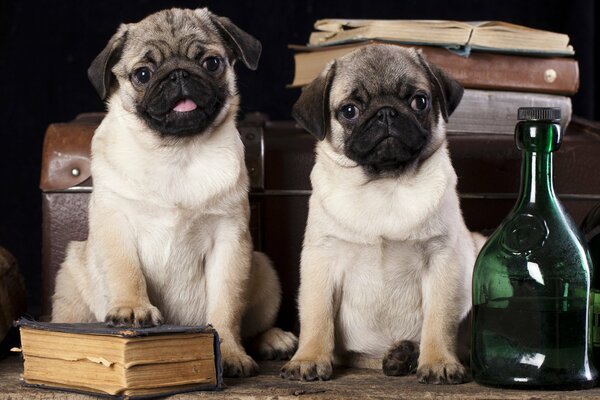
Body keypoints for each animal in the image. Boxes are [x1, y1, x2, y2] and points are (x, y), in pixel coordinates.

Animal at [51, 7, 298, 376]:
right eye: (143, 74)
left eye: (212, 63)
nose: (179, 74)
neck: (176, 152)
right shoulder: (115, 223)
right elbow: (126, 272)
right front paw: (132, 309)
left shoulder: (230, 240)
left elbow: (226, 306)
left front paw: (230, 352)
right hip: (72, 272)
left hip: (264, 270)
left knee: (254, 325)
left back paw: (273, 339)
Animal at [282, 44, 488, 384]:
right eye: (349, 110)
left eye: (419, 101)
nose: (386, 112)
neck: (385, 184)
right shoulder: (321, 259)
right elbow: (316, 315)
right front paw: (309, 357)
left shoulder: (443, 258)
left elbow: (439, 320)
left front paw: (438, 361)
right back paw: (399, 357)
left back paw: (406, 355)